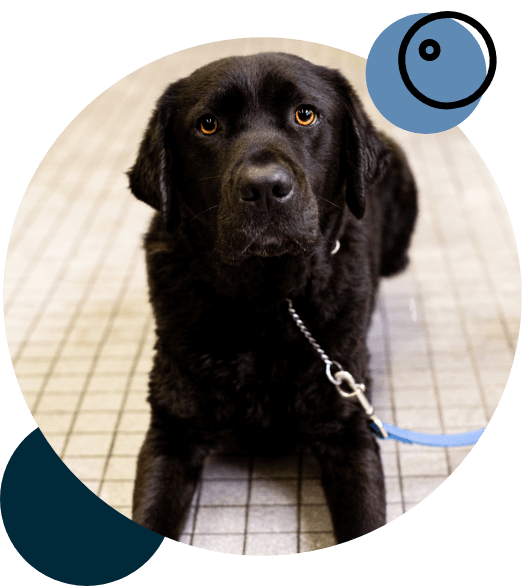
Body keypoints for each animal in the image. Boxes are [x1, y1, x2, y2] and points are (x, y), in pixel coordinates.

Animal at [128, 52, 417, 546]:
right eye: (208, 124)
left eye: (305, 114)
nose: (265, 187)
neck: (264, 301)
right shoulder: (172, 430)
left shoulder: (348, 431)